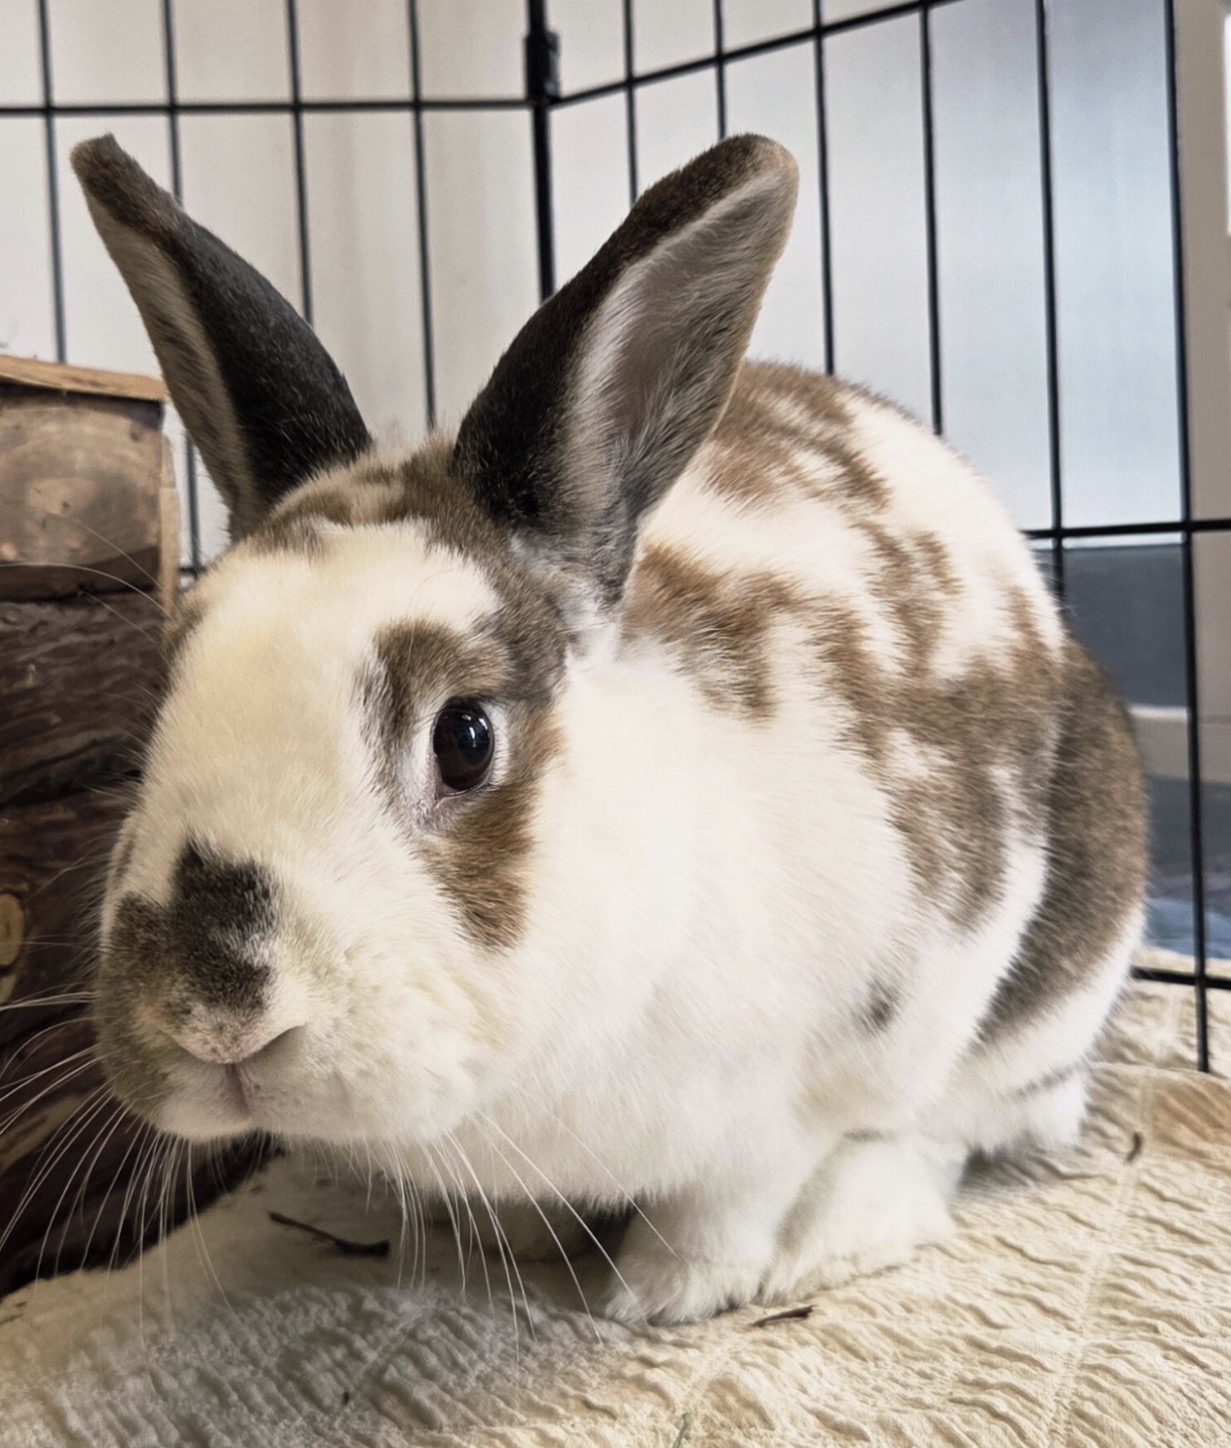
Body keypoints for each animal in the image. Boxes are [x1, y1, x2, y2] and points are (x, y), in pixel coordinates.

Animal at [73, 131, 1146, 1325]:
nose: (213, 1020)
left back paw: (832, 1238)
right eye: (160, 704)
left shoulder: (781, 1101)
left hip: (1048, 986)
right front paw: (518, 1237)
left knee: (950, 1129)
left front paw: (671, 1292)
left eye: (465, 738)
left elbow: (735, 1196)